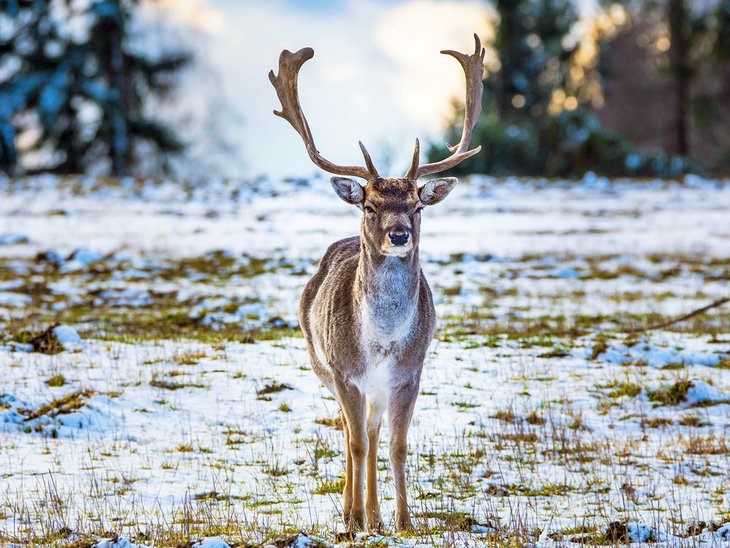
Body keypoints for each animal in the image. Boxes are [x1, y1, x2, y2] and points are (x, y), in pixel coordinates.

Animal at [268, 34, 484, 532]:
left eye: (417, 206)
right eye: (369, 205)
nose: (399, 234)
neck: (382, 341)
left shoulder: (410, 374)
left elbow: (396, 445)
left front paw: (403, 521)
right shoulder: (344, 373)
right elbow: (356, 443)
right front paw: (352, 518)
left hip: (376, 389)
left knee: (369, 428)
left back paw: (375, 515)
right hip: (321, 366)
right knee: (350, 433)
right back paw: (354, 512)